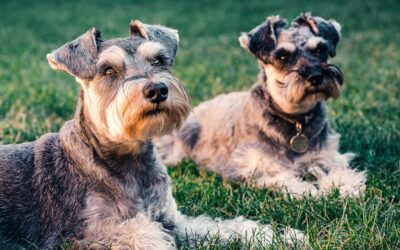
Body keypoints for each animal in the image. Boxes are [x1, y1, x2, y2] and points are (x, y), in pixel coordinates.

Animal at [0, 20, 302, 249]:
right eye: (107, 69)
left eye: (159, 60)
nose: (156, 90)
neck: (128, 161)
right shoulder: (86, 236)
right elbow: (142, 235)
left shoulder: (172, 220)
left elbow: (222, 227)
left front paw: (280, 236)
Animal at [159, 13, 366, 197]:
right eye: (282, 56)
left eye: (320, 50)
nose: (316, 76)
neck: (295, 120)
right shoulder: (259, 166)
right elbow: (286, 179)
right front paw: (310, 192)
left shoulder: (328, 156)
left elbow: (341, 171)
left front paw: (346, 188)